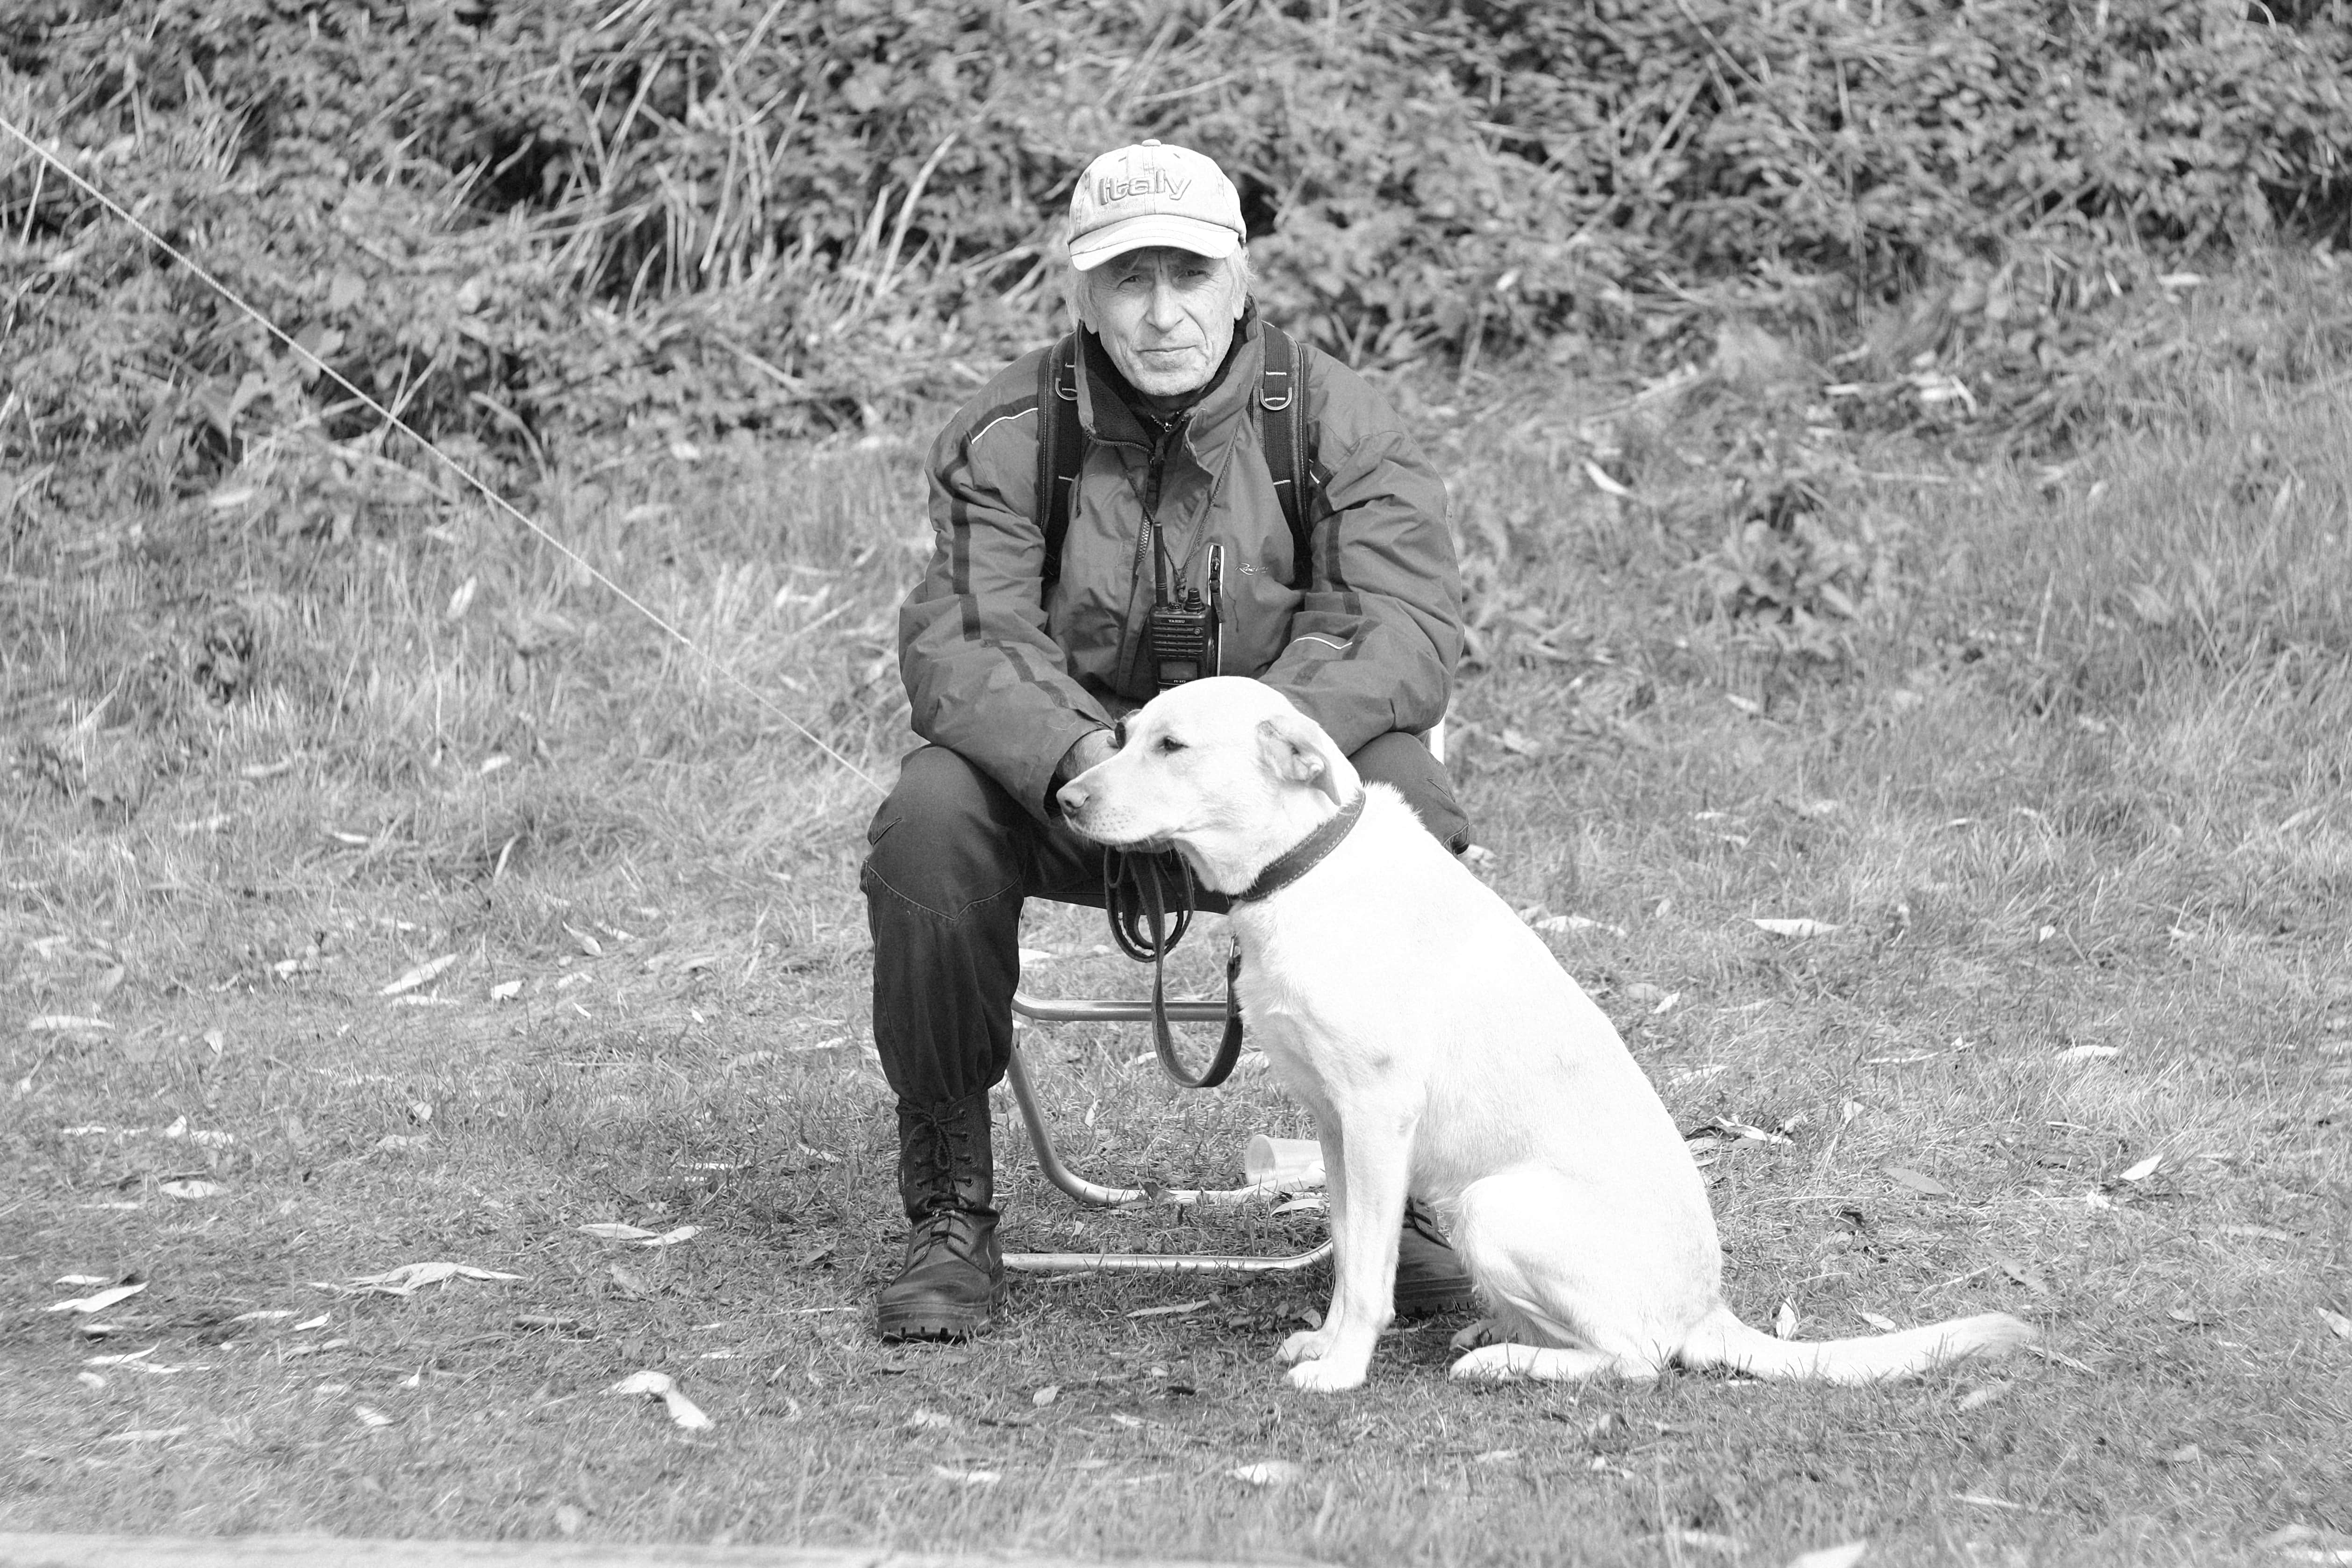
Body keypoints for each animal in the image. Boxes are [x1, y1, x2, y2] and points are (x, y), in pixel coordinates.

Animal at [1058, 677, 2037, 1393]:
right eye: (1127, 732)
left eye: (1172, 747)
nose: (1062, 797)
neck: (1303, 870)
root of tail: (1709, 1309)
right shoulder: (1335, 1128)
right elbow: (1345, 1260)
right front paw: (1328, 1344)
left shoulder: (1375, 1119)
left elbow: (1368, 1274)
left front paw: (1343, 1372)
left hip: (1494, 1206)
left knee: (1638, 1363)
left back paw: (1507, 1360)